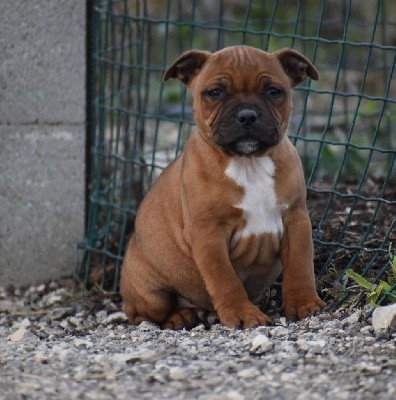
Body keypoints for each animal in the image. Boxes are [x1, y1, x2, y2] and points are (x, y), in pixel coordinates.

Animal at [120, 45, 324, 330]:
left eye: (274, 92)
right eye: (215, 92)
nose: (247, 115)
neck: (248, 163)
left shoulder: (296, 220)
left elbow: (300, 266)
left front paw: (304, 302)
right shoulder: (209, 234)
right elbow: (225, 279)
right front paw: (242, 313)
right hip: (150, 294)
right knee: (141, 312)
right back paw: (179, 316)